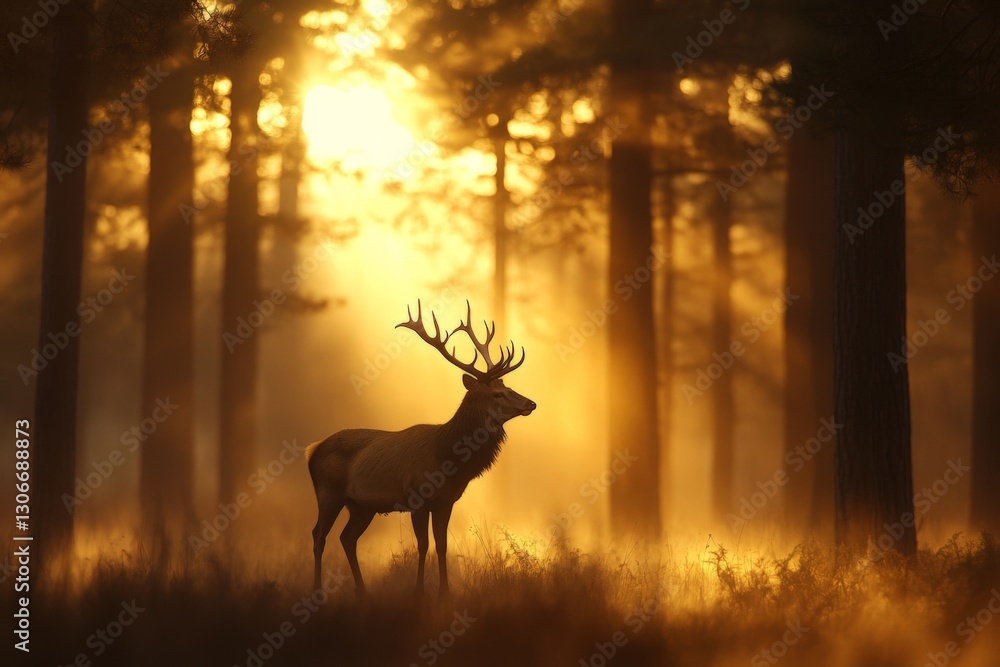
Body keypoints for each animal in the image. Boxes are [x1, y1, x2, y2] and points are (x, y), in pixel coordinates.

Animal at [306, 301, 536, 599]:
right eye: (497, 394)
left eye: (508, 386)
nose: (531, 403)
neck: (447, 459)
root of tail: (312, 451)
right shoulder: (416, 497)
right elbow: (423, 545)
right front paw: (418, 593)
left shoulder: (446, 501)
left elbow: (442, 545)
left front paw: (445, 594)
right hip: (328, 492)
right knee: (318, 535)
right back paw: (317, 592)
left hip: (361, 505)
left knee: (347, 538)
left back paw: (363, 593)